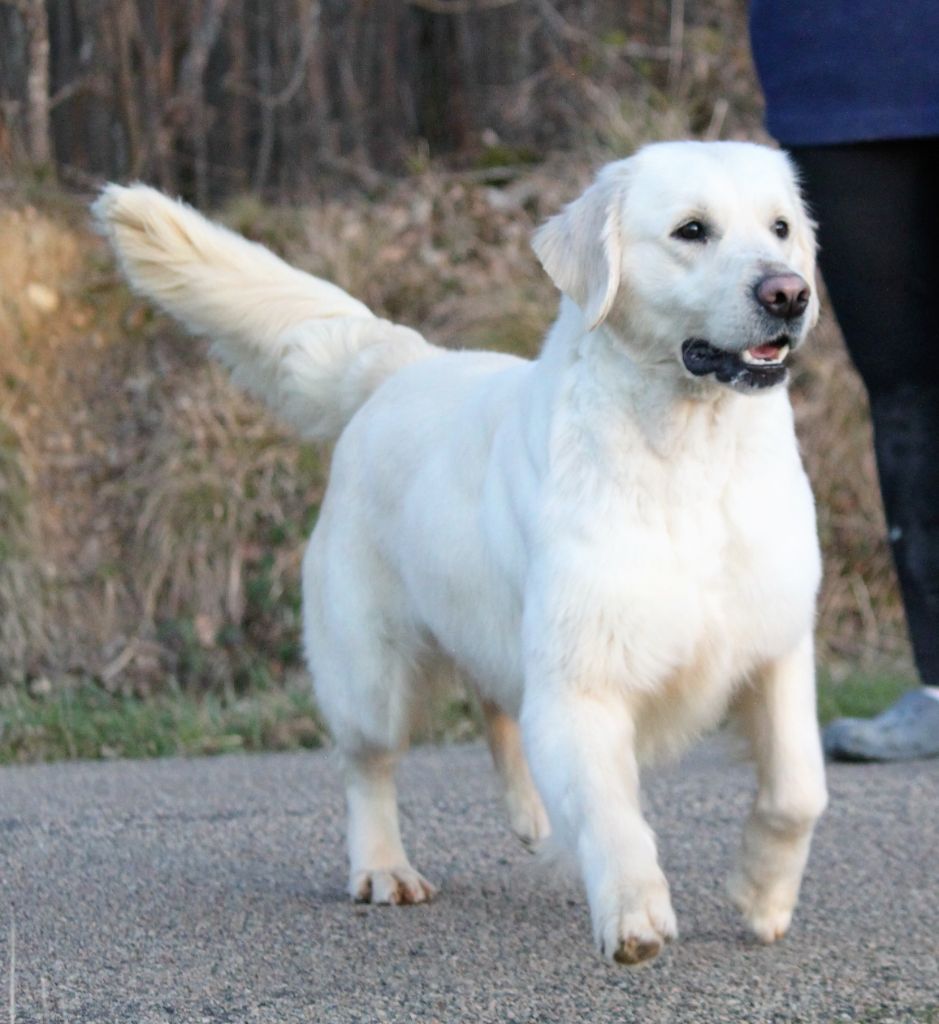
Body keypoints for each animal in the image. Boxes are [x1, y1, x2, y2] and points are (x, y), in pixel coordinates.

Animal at [93, 140, 827, 962]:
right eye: (691, 230)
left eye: (780, 228)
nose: (789, 293)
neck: (689, 456)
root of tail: (400, 364)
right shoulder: (581, 679)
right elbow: (612, 812)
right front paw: (634, 913)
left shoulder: (774, 646)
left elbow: (798, 790)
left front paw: (763, 896)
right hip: (370, 672)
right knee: (368, 766)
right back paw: (384, 869)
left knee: (496, 708)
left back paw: (532, 817)